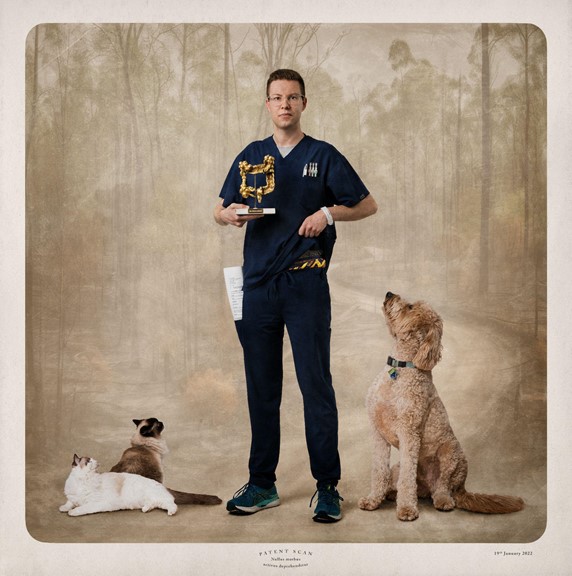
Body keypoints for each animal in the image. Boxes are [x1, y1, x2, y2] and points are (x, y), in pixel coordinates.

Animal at [360, 292, 524, 520]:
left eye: (410, 307)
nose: (389, 293)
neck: (401, 368)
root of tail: (462, 488)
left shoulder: (409, 432)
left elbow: (407, 479)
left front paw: (407, 510)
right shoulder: (378, 432)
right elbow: (378, 471)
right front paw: (373, 500)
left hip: (451, 455)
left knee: (441, 488)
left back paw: (442, 501)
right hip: (400, 466)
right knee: (413, 485)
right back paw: (391, 493)